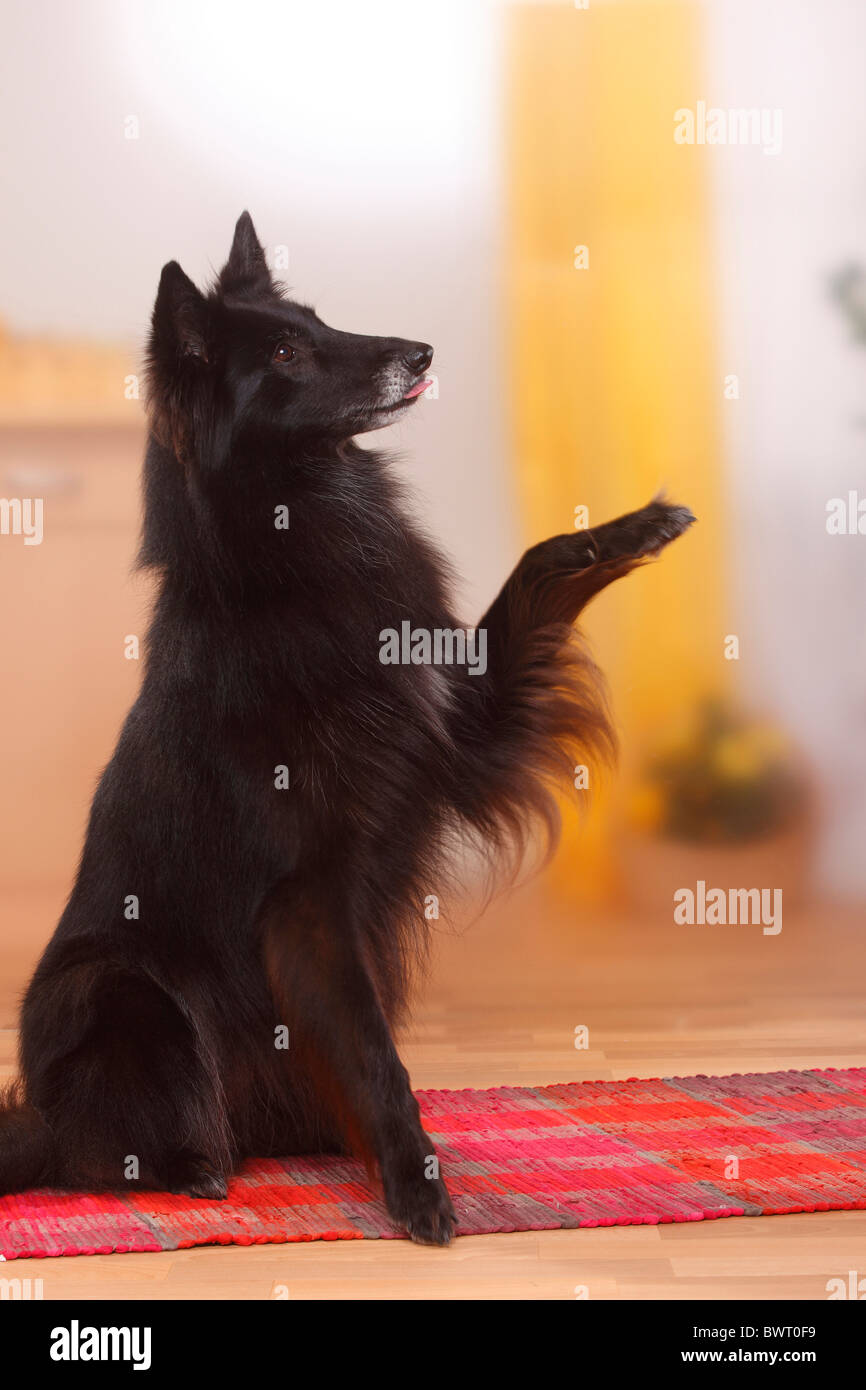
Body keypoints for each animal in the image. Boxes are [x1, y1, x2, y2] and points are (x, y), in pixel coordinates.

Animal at [0, 214, 695, 1239]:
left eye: (319, 321)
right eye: (286, 354)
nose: (421, 353)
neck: (302, 544)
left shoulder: (464, 731)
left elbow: (535, 568)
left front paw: (638, 526)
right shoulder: (311, 897)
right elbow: (375, 1056)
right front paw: (418, 1185)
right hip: (112, 985)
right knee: (102, 1151)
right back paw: (196, 1170)